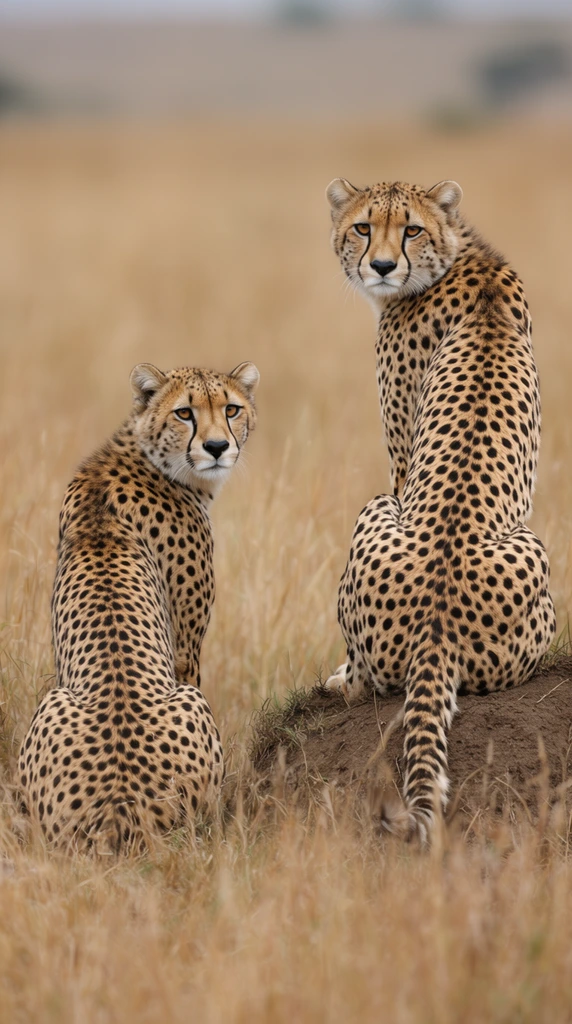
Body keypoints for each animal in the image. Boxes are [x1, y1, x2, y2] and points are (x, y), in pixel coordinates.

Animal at [18, 360, 259, 852]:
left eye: (231, 409)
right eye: (185, 412)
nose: (217, 447)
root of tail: (119, 810)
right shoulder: (186, 653)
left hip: (53, 699)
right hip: (185, 702)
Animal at [325, 176, 556, 843]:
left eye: (410, 230)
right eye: (362, 227)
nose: (380, 266)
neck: (458, 254)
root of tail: (438, 624)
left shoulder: (400, 464)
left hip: (381, 509)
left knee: (366, 684)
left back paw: (339, 679)